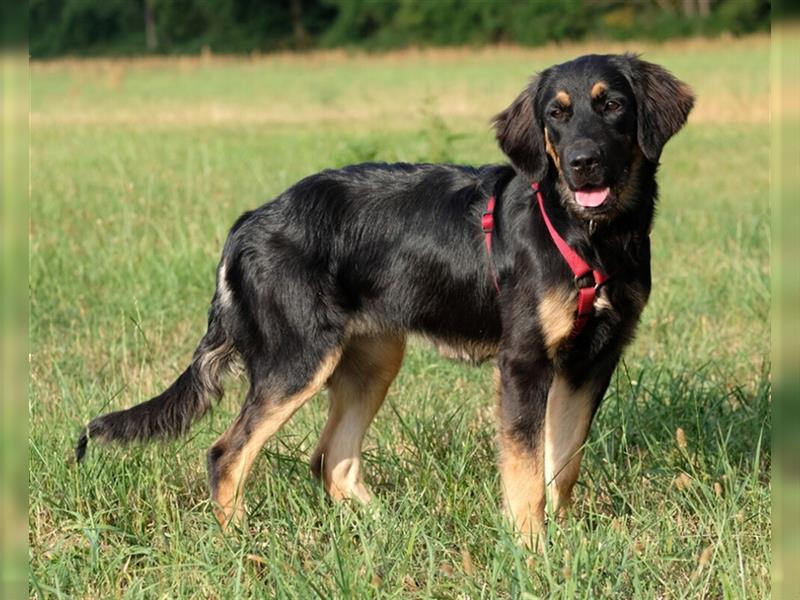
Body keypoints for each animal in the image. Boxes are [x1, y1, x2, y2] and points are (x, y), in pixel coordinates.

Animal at [78, 52, 696, 548]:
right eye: (556, 114)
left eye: (612, 104)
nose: (582, 164)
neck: (589, 236)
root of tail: (247, 224)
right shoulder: (523, 362)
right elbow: (525, 474)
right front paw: (532, 549)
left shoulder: (592, 361)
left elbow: (561, 464)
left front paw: (563, 541)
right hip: (297, 361)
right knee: (227, 453)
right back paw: (242, 541)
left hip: (372, 360)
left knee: (332, 460)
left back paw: (391, 528)